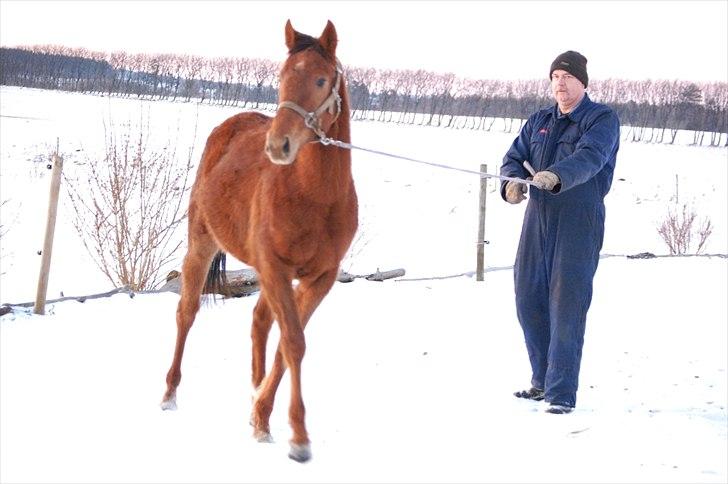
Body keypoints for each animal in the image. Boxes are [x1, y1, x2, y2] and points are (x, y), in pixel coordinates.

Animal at [164, 20, 360, 464]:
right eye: (282, 77)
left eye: (320, 79)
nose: (278, 145)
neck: (315, 196)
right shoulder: (277, 269)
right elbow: (293, 343)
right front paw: (299, 438)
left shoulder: (318, 278)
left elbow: (286, 346)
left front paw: (262, 418)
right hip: (201, 246)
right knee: (187, 313)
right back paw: (169, 393)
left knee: (258, 322)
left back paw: (254, 395)